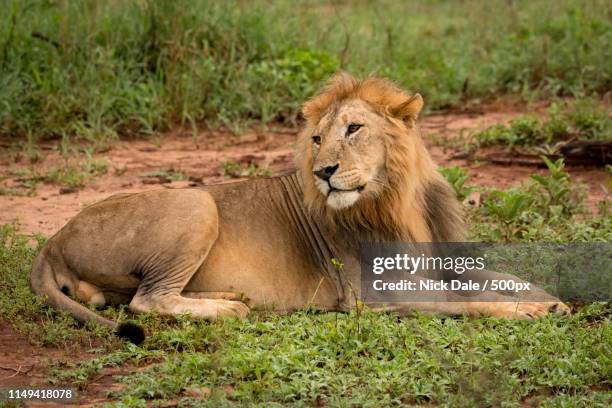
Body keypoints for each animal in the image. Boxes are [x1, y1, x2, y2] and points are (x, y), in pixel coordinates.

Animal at [29, 73, 568, 344]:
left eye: (353, 129)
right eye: (316, 140)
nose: (324, 171)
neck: (397, 201)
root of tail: (53, 239)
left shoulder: (442, 262)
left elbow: (502, 278)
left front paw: (552, 299)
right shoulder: (370, 298)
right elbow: (466, 302)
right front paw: (526, 312)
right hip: (197, 200)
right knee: (147, 300)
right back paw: (228, 308)